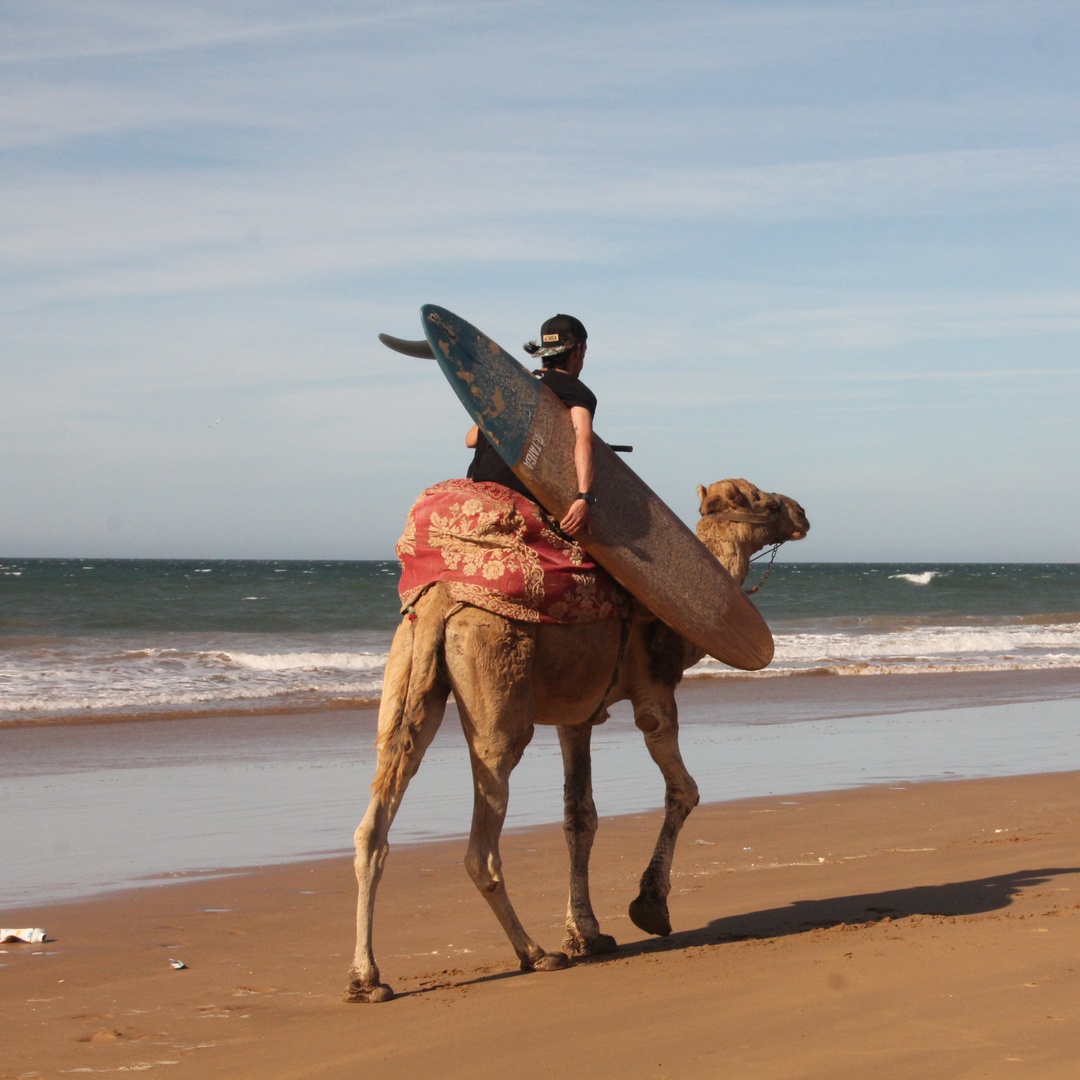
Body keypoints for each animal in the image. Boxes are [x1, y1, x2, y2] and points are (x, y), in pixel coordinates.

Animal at [347, 478, 809, 1002]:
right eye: (765, 503)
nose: (800, 512)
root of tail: (441, 599)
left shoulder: (577, 716)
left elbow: (579, 817)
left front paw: (586, 933)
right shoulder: (654, 694)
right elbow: (683, 791)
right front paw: (649, 907)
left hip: (408, 676)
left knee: (376, 817)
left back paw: (366, 977)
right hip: (497, 693)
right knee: (482, 837)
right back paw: (534, 953)